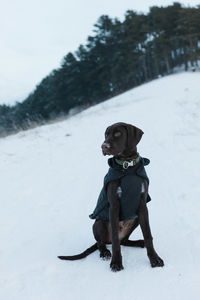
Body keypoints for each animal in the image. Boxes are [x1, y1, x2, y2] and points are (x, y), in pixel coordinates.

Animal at [58, 122, 164, 272]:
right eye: (106, 134)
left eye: (118, 133)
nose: (104, 146)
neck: (127, 166)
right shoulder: (113, 206)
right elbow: (114, 240)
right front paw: (116, 263)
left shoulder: (142, 206)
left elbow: (148, 235)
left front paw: (155, 259)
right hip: (99, 223)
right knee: (102, 242)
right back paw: (105, 252)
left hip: (135, 218)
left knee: (123, 241)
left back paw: (139, 242)